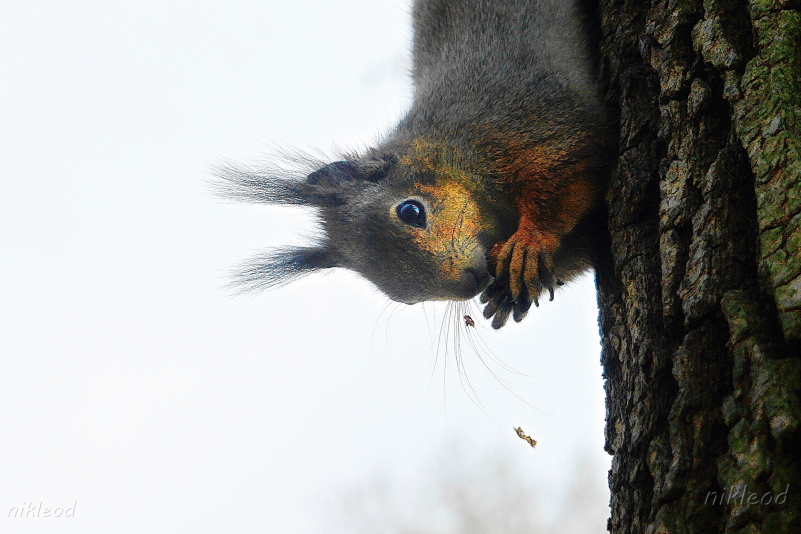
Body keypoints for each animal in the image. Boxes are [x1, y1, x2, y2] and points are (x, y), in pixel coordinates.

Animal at [212, 0, 612, 328]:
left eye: (411, 211)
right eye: (404, 298)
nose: (471, 282)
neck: (448, 148)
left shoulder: (533, 121)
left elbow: (568, 171)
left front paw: (530, 241)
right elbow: (582, 246)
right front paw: (508, 294)